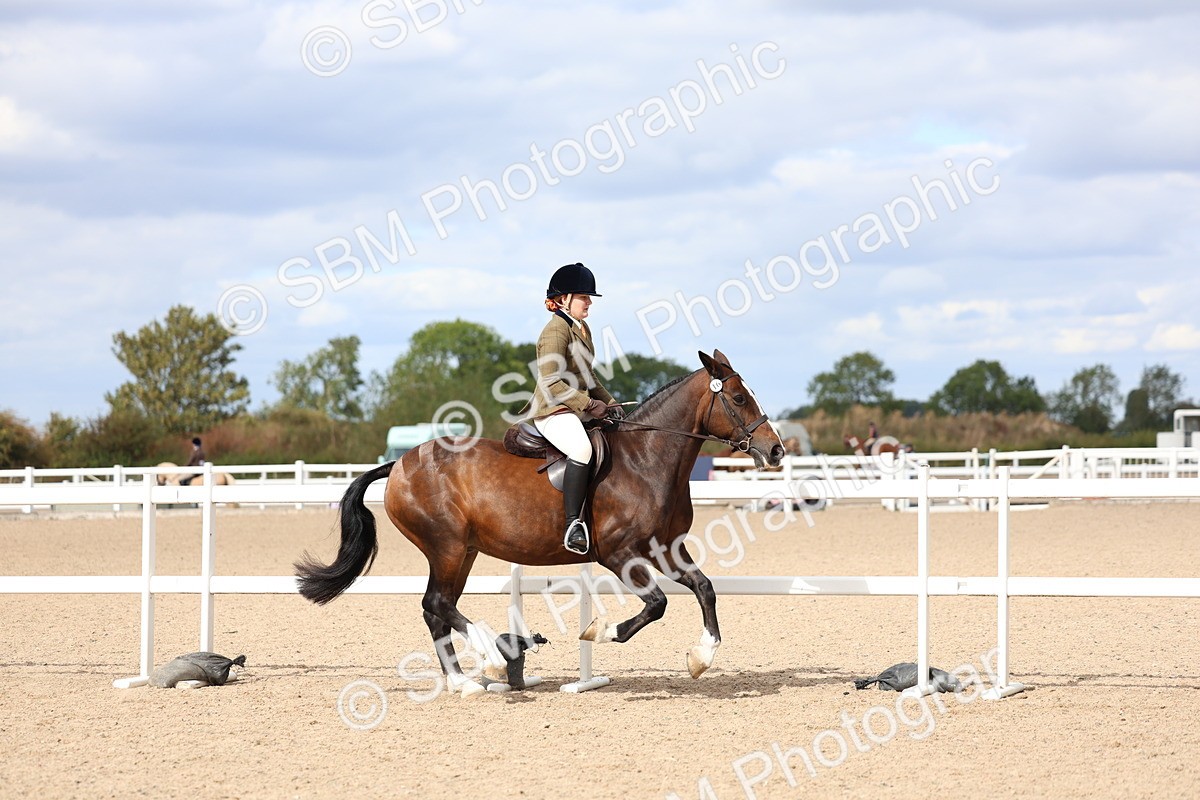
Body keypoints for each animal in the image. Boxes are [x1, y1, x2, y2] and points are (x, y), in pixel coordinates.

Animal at [294, 350, 785, 697]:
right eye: (739, 398)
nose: (776, 450)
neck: (647, 460)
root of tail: (398, 463)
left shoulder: (664, 547)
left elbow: (704, 588)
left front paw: (701, 657)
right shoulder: (618, 553)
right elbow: (657, 604)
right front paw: (600, 630)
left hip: (463, 551)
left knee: (436, 609)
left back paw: (463, 682)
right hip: (446, 546)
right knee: (437, 603)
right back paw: (491, 657)